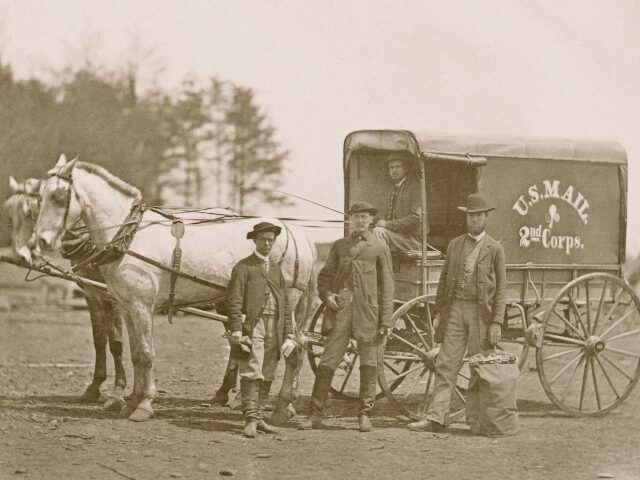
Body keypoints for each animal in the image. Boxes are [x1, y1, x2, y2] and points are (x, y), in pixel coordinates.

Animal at [34, 156, 316, 422]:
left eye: (59, 196)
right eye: (39, 196)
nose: (42, 241)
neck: (129, 235)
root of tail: (298, 234)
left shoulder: (140, 305)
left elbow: (145, 353)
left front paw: (144, 405)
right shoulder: (127, 305)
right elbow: (135, 353)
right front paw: (132, 401)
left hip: (285, 304)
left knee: (293, 350)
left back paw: (280, 408)